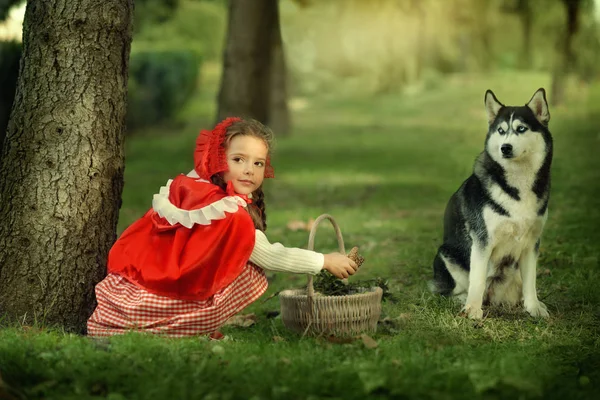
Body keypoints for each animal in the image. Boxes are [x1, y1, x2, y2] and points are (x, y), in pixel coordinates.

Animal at [432, 87, 552, 318]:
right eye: (501, 130)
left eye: (521, 129)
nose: (505, 147)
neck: (517, 183)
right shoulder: (482, 240)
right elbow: (477, 280)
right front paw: (472, 310)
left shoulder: (532, 243)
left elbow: (531, 281)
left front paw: (533, 307)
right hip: (446, 253)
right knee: (455, 289)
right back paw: (464, 300)